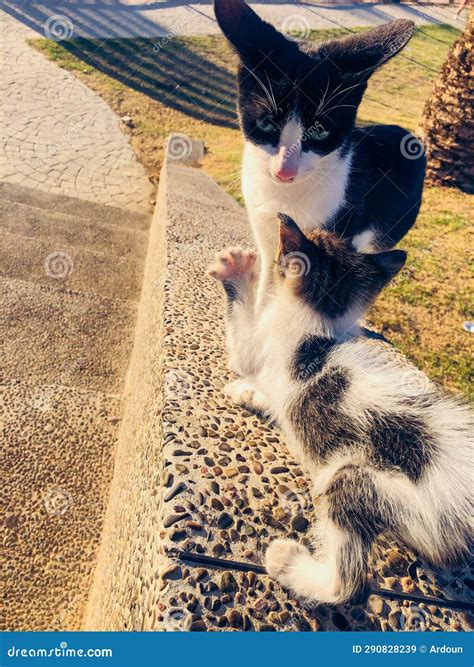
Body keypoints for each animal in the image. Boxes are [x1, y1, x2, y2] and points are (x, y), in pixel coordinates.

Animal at [208, 218, 474, 604]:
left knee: (349, 584)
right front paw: (249, 393)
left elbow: (241, 344)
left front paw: (236, 269)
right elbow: (269, 396)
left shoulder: (258, 348)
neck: (319, 318)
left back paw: (288, 562)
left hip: (353, 479)